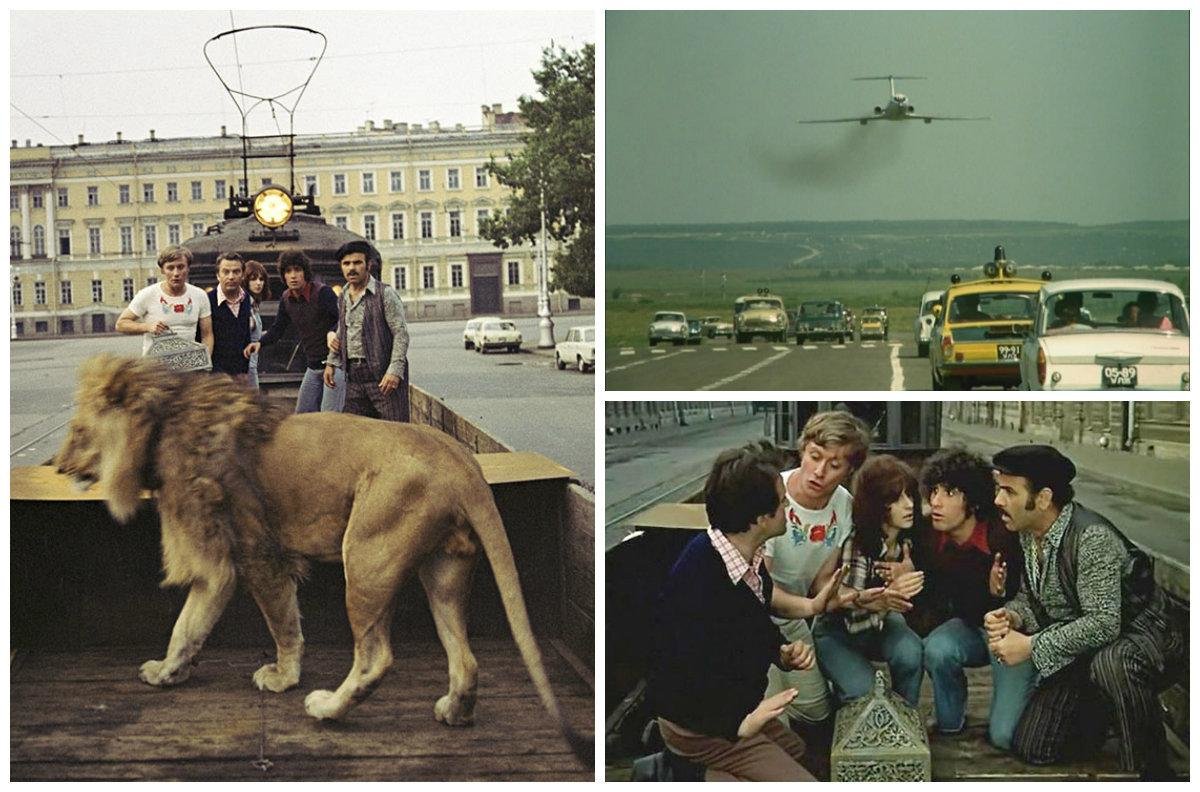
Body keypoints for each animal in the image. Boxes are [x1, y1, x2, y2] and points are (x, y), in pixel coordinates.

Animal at [56, 355, 590, 763]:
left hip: (368, 556)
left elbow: (275, 623)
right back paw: (454, 712)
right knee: (467, 658)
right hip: (444, 569)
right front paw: (169, 672)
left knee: (375, 657)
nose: (59, 466)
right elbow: (189, 626)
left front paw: (282, 678)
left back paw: (326, 708)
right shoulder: (224, 561)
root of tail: (462, 461)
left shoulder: (251, 553)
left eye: (79, 431)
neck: (163, 418)